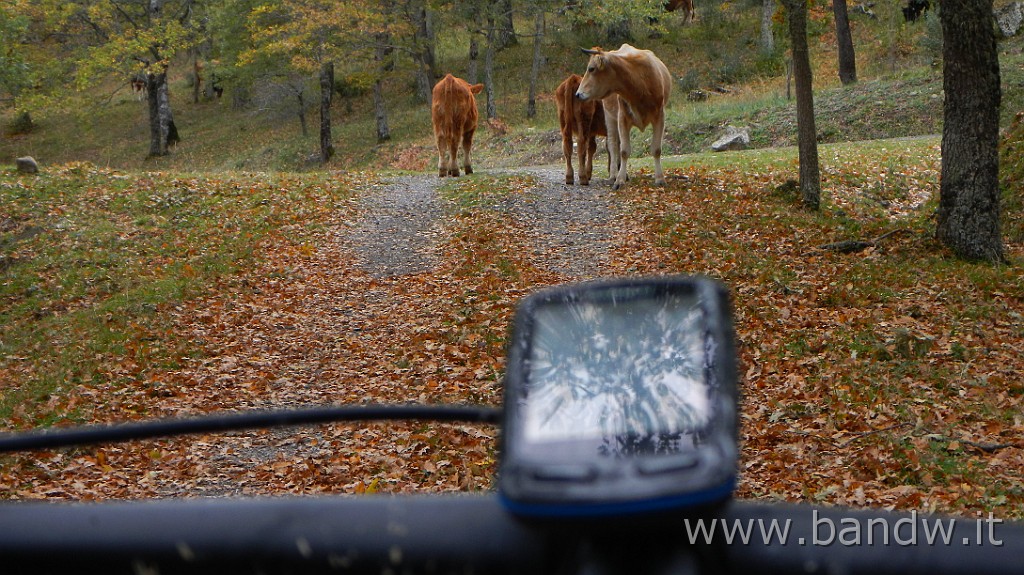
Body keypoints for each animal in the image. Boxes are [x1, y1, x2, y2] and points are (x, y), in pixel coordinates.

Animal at [577, 43, 671, 190]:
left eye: (591, 68)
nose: (578, 94)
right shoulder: (622, 118)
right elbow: (624, 151)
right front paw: (619, 180)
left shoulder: (659, 116)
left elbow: (656, 149)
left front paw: (660, 179)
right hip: (610, 118)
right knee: (613, 145)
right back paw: (613, 175)